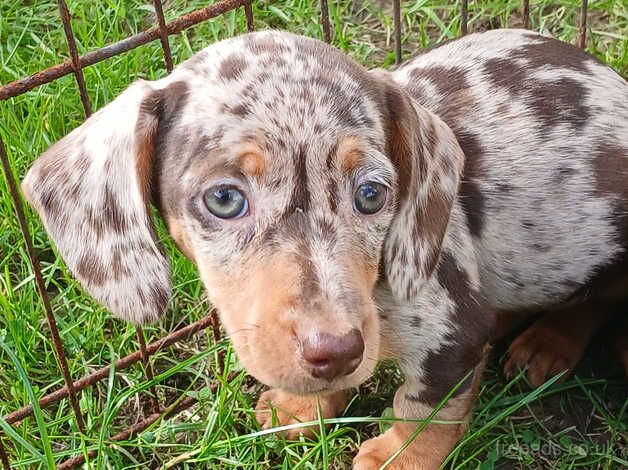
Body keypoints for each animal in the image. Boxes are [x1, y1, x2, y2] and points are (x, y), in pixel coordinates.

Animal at [22, 30, 624, 470]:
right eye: (224, 198)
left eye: (372, 194)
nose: (336, 351)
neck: (380, 296)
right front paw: (300, 406)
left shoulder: (452, 332)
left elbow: (426, 410)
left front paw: (398, 457)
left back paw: (549, 342)